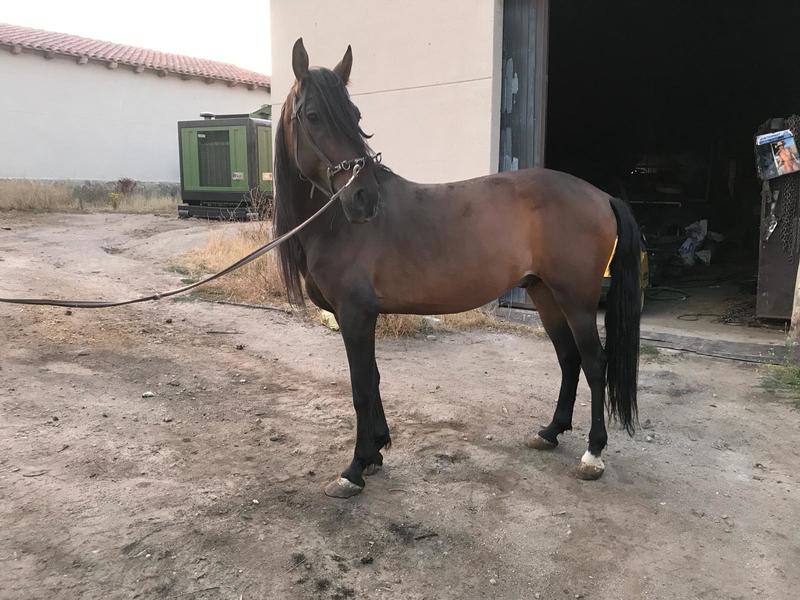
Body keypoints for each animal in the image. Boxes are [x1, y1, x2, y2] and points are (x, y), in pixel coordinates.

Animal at [274, 39, 641, 498]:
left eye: (355, 116)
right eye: (312, 116)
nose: (365, 198)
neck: (336, 224)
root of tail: (602, 195)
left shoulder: (355, 314)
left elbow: (360, 388)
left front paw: (355, 468)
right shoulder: (360, 316)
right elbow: (373, 379)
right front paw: (376, 452)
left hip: (575, 299)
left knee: (594, 363)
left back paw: (592, 454)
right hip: (545, 295)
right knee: (569, 358)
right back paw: (550, 432)